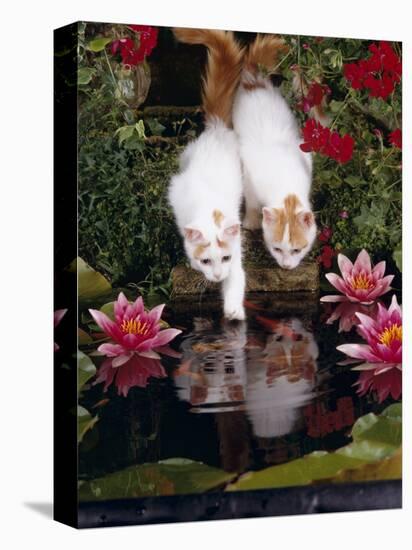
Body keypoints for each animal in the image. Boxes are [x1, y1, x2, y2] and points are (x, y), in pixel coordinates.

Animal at [169, 30, 246, 322]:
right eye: (206, 261)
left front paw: (234, 310)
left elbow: (237, 281)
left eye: (224, 259)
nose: (217, 275)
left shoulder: (237, 252)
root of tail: (216, 128)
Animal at [233, 34, 318, 272]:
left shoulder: (306, 158)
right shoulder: (249, 173)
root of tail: (253, 81)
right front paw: (252, 221)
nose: (287, 266)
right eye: (277, 249)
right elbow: (253, 203)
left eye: (297, 250)